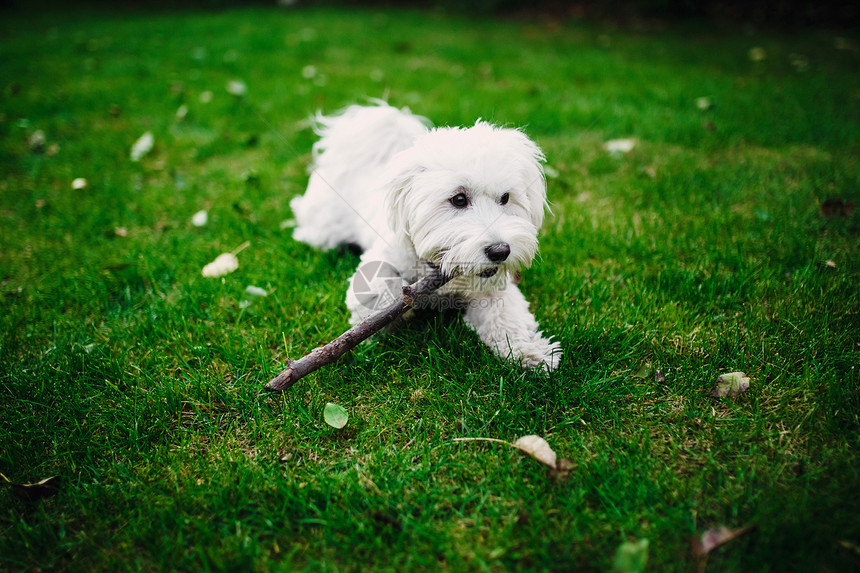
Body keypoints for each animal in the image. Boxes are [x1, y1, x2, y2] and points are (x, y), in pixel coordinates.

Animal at [288, 102, 560, 370]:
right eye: (458, 199)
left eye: (505, 198)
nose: (500, 251)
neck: (437, 266)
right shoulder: (381, 260)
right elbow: (380, 288)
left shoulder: (494, 289)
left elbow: (507, 316)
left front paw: (529, 351)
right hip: (323, 229)